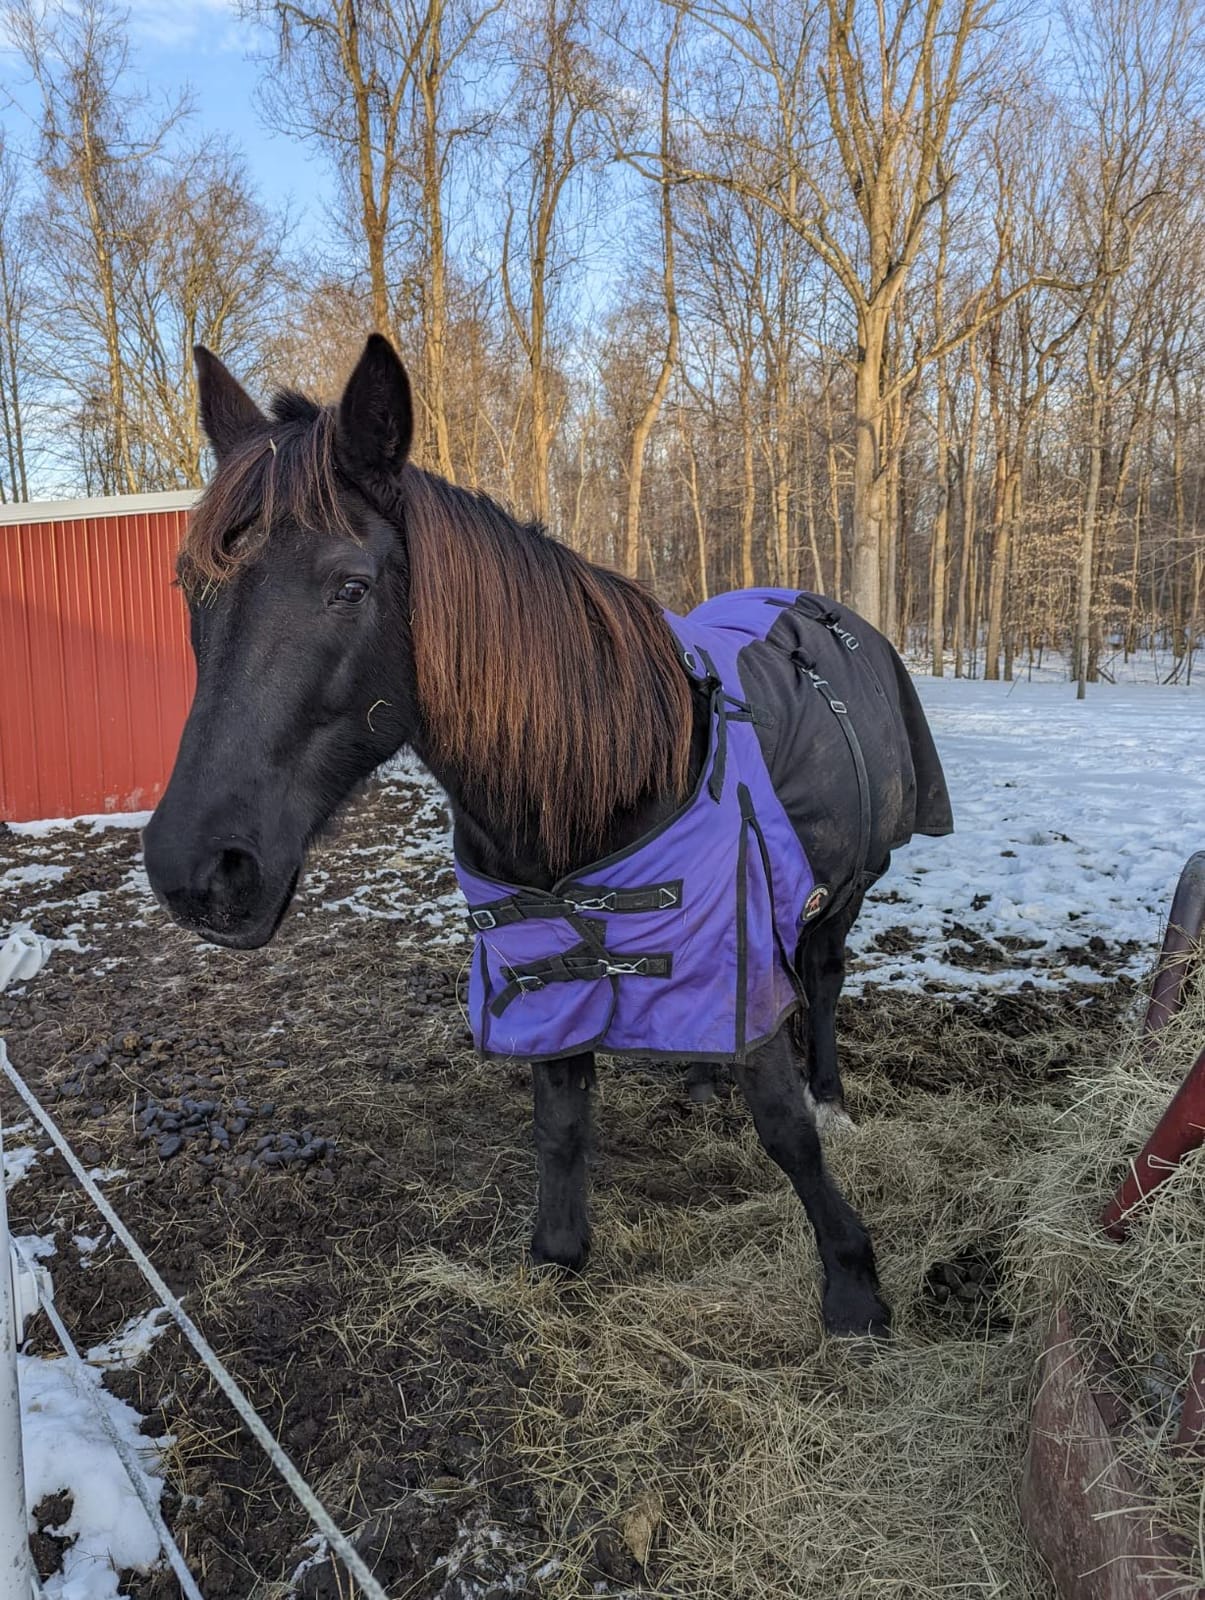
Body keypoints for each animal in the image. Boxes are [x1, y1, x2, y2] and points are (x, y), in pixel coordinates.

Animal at [143, 335, 953, 1338]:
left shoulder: (736, 932)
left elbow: (783, 1127)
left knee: (824, 978)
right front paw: (557, 1260)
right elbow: (561, 1123)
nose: (196, 871)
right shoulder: (546, 966)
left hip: (843, 887)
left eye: (349, 587)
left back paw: (833, 1094)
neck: (605, 773)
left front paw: (850, 1281)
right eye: (192, 586)